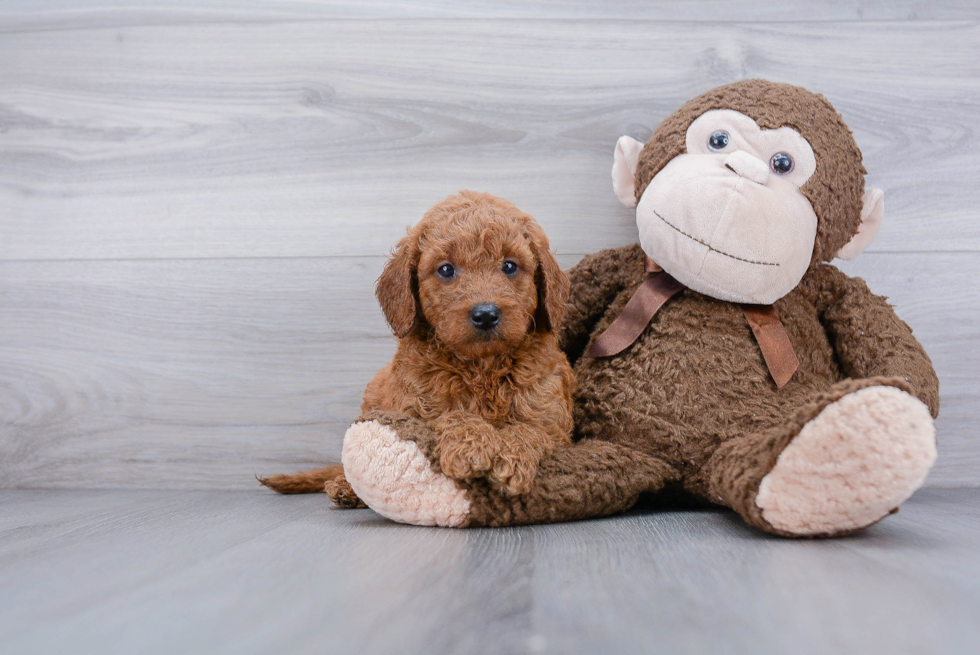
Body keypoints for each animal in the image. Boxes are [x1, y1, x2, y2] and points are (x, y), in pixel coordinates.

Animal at [264, 191, 576, 502]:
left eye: (509, 266)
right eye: (446, 269)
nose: (486, 314)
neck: (482, 366)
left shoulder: (553, 420)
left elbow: (531, 430)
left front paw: (510, 458)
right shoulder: (412, 412)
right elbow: (450, 415)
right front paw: (470, 446)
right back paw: (345, 487)